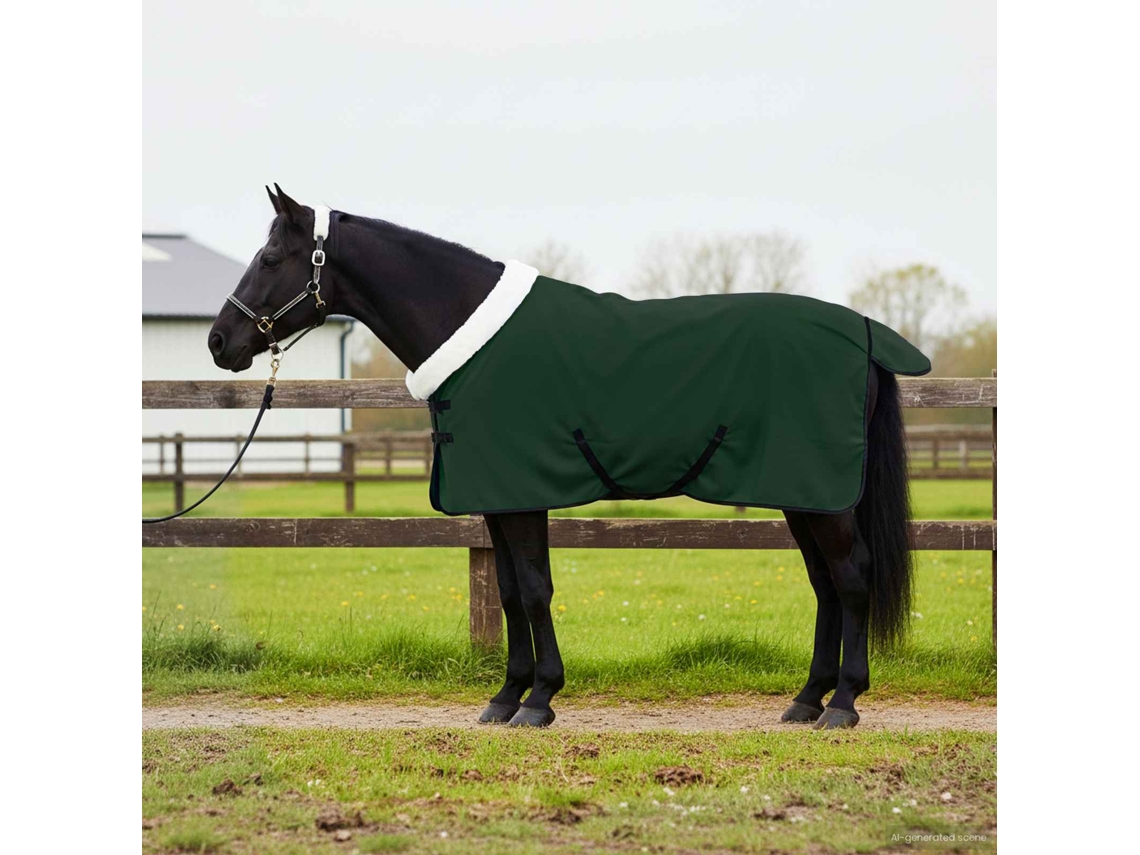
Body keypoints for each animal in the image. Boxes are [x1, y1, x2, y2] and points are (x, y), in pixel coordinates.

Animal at [207, 185, 922, 730]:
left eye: (270, 256)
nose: (219, 341)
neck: (471, 335)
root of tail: (864, 333)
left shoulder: (522, 496)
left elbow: (533, 589)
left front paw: (540, 699)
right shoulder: (496, 499)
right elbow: (507, 593)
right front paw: (506, 697)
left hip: (824, 497)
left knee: (851, 576)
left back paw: (844, 704)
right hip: (804, 493)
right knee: (825, 584)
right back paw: (806, 700)